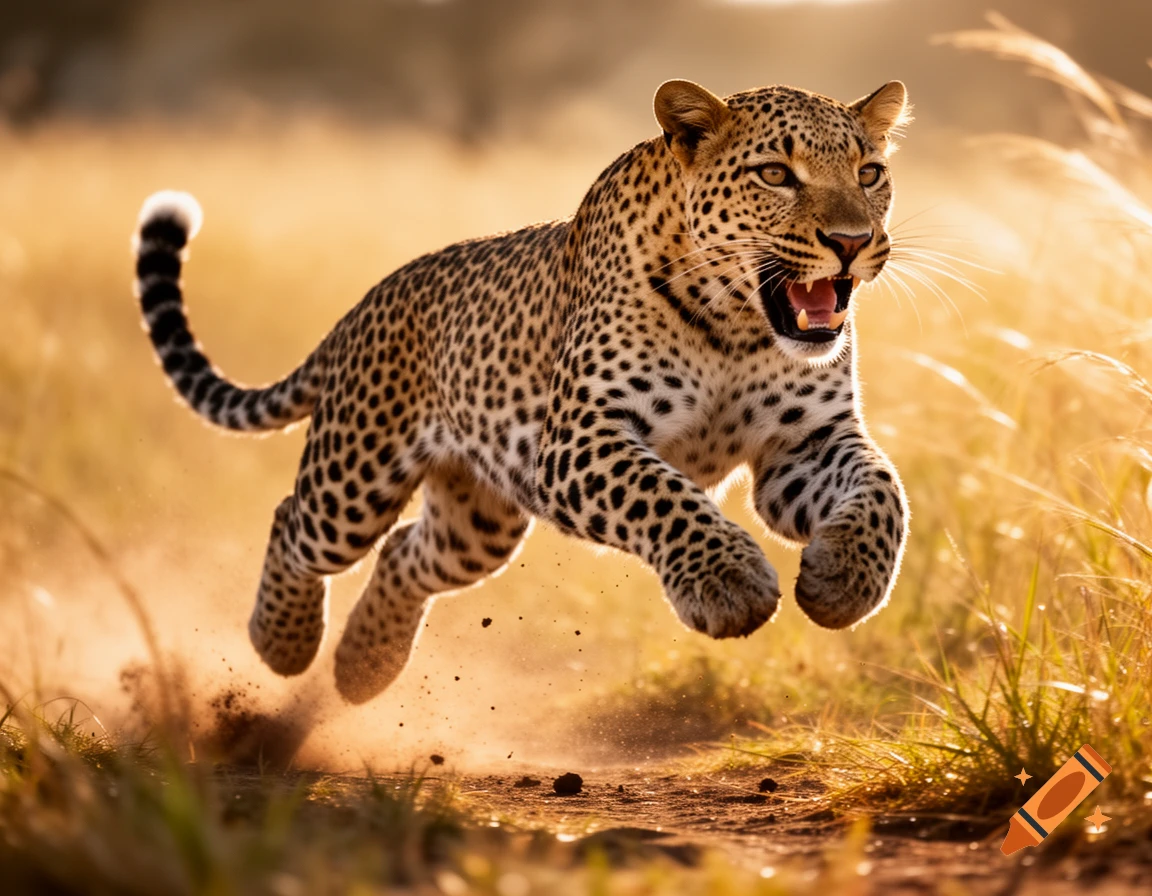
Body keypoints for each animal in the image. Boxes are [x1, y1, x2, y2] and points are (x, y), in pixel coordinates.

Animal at [132, 79, 911, 705]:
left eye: (870, 172)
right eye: (776, 174)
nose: (851, 241)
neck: (738, 326)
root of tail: (364, 305)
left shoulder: (804, 444)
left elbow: (882, 491)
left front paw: (847, 579)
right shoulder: (581, 438)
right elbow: (664, 496)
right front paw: (728, 584)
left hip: (476, 523)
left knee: (407, 553)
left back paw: (363, 668)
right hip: (354, 479)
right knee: (294, 520)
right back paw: (283, 642)